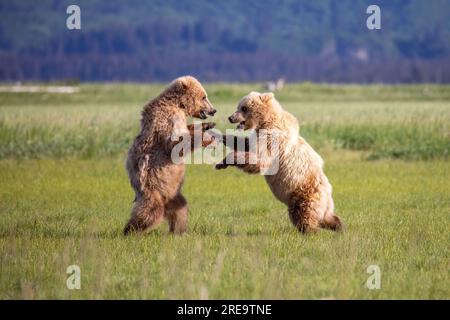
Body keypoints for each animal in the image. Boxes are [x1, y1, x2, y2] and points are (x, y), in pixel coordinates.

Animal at [122, 75, 215, 235]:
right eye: (204, 97)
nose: (214, 110)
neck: (178, 105)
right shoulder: (169, 118)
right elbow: (175, 145)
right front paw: (205, 135)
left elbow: (186, 131)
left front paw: (207, 126)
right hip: (151, 186)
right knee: (151, 210)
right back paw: (130, 229)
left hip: (173, 190)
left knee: (180, 209)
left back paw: (178, 230)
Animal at [216, 91, 342, 234]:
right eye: (239, 106)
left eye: (243, 108)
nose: (230, 117)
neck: (265, 122)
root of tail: (328, 190)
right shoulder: (259, 136)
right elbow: (246, 144)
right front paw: (222, 138)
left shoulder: (271, 139)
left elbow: (260, 161)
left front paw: (225, 160)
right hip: (322, 203)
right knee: (326, 217)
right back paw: (339, 226)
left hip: (303, 194)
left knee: (304, 215)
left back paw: (311, 232)